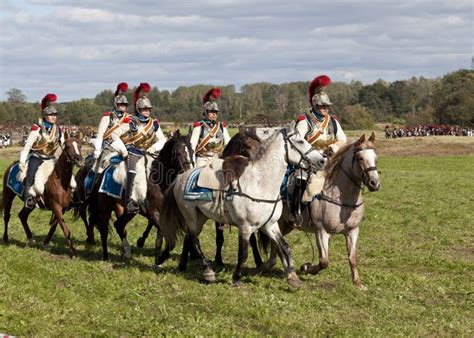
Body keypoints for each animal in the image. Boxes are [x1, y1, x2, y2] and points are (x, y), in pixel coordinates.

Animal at [159, 123, 326, 286]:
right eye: (300, 141)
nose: (322, 160)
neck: (260, 184)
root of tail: (180, 177)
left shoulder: (269, 225)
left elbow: (284, 246)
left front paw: (292, 276)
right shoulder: (245, 227)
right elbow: (243, 254)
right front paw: (236, 278)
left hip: (201, 216)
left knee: (189, 237)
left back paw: (182, 266)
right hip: (191, 216)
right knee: (194, 239)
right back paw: (207, 271)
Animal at [262, 132, 380, 290]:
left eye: (375, 158)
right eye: (361, 158)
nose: (375, 183)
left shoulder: (352, 231)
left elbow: (353, 258)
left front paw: (358, 283)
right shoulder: (321, 232)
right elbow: (324, 261)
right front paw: (306, 268)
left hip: (287, 225)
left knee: (276, 242)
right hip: (279, 222)